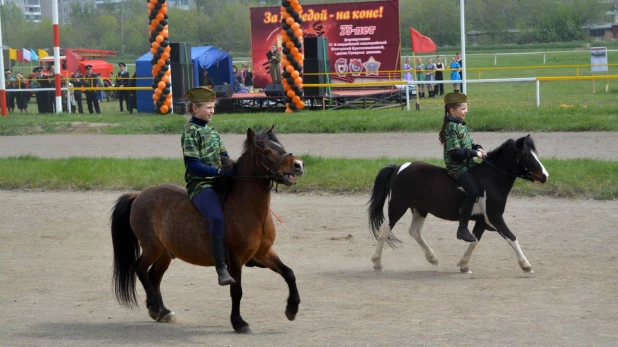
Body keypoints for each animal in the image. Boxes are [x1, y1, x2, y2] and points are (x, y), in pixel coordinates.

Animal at [110, 128, 306, 334]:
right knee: (140, 269)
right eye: (267, 151)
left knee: (154, 276)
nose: (299, 165)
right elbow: (237, 291)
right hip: (152, 247)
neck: (247, 209)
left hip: (164, 252)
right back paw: (156, 307)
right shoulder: (235, 258)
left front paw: (292, 309)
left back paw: (162, 311)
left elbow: (289, 273)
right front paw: (239, 323)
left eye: (281, 146)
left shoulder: (264, 252)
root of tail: (138, 195)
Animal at [366, 136, 544, 274]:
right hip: (398, 205)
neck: (491, 179)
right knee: (385, 229)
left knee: (415, 231)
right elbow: (512, 237)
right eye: (526, 155)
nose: (545, 176)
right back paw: (377, 263)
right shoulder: (495, 217)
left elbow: (474, 240)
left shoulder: (482, 221)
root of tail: (398, 168)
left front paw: (464, 265)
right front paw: (526, 266)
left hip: (420, 209)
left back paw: (433, 258)